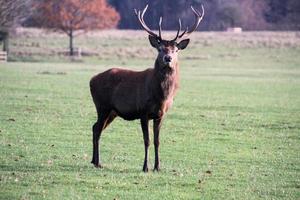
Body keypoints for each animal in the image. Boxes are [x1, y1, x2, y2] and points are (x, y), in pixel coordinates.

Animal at [89, 4, 204, 172]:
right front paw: (145, 167)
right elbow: (147, 140)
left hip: (112, 112)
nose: (168, 58)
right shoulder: (143, 112)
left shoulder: (161, 115)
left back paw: (94, 160)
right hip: (102, 106)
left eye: (176, 50)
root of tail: (91, 80)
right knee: (97, 129)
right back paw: (97, 162)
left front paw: (158, 167)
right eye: (160, 48)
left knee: (96, 127)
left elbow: (157, 141)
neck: (161, 96)